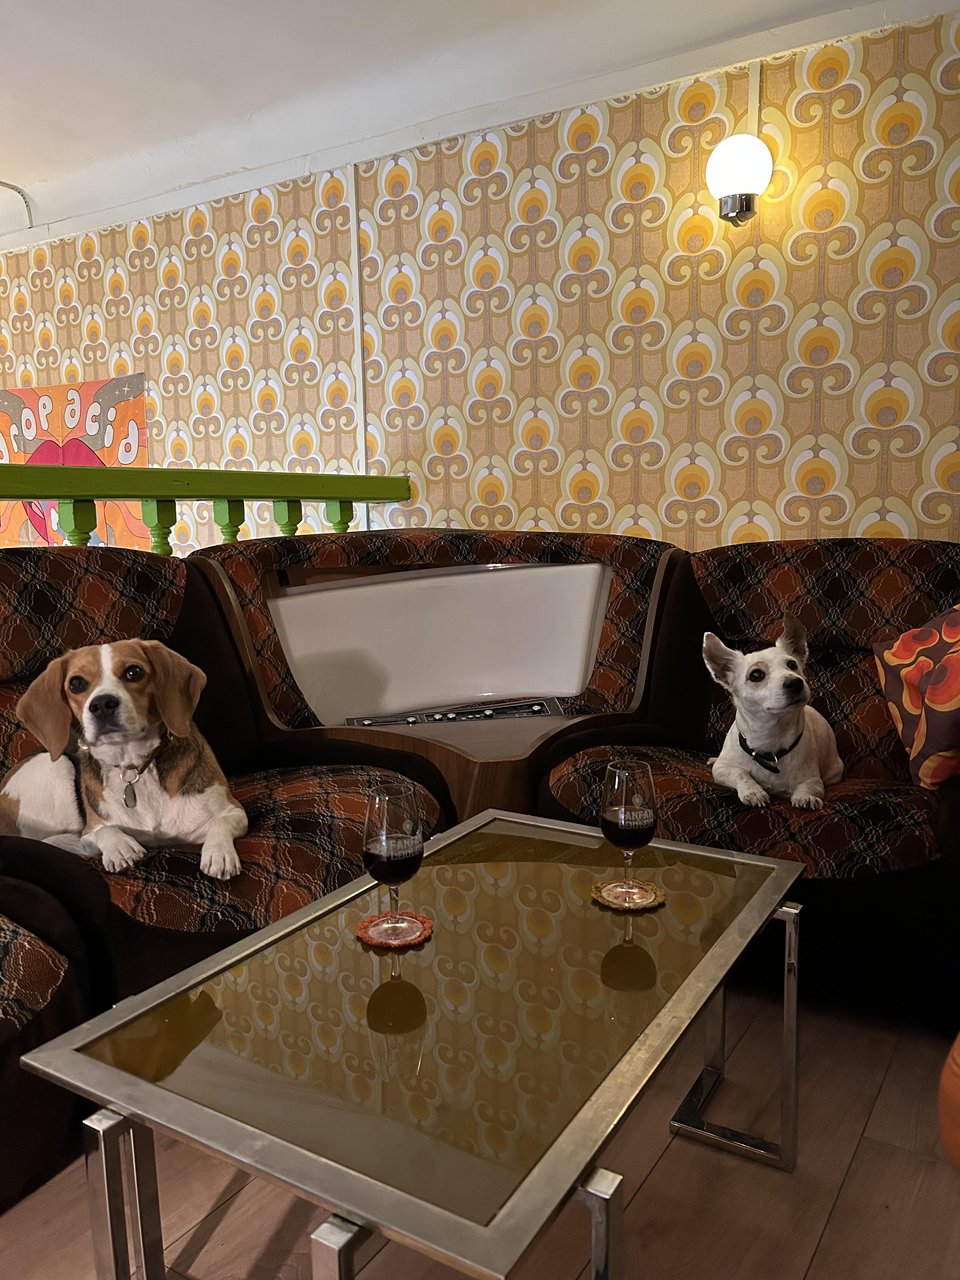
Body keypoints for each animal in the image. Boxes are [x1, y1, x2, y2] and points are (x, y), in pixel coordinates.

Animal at [0, 640, 246, 878]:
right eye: (76, 683)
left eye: (133, 672)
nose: (101, 704)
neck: (134, 767)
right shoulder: (89, 832)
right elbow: (104, 830)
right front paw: (120, 847)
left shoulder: (235, 812)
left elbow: (220, 822)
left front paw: (218, 853)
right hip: (55, 766)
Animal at [702, 615, 843, 810]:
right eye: (756, 675)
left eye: (792, 665)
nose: (795, 682)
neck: (770, 740)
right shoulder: (723, 769)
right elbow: (740, 774)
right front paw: (754, 792)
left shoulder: (813, 779)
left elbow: (810, 786)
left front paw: (805, 797)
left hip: (834, 772)